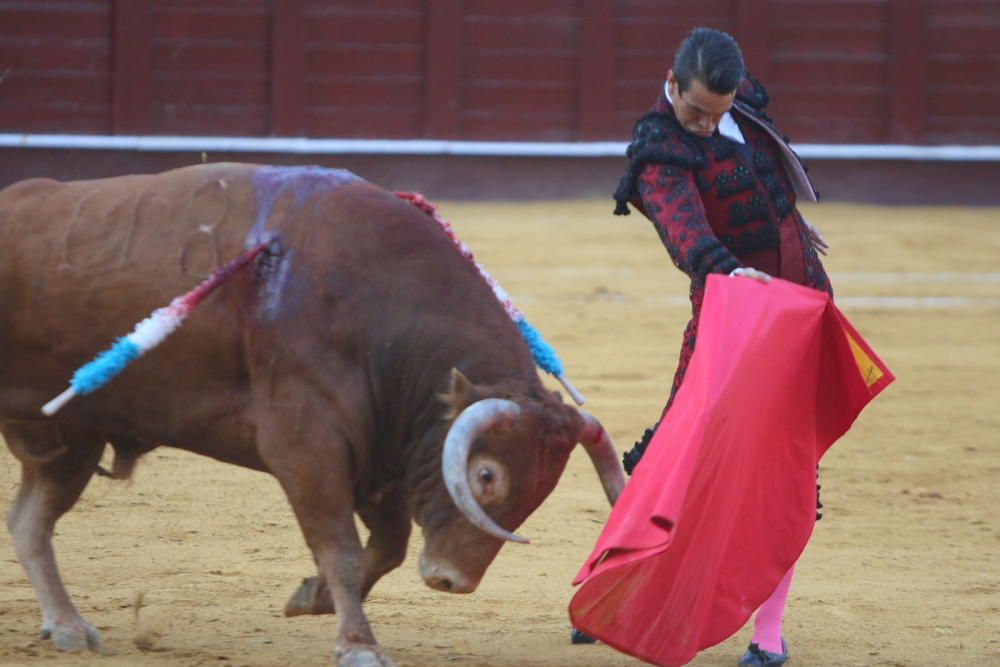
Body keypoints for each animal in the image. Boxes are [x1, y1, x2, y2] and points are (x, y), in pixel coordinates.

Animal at [0, 163, 624, 667]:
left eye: (542, 491)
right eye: (486, 476)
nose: (454, 580)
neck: (378, 308)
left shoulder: (381, 454)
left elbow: (388, 545)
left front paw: (311, 597)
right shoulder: (307, 446)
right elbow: (341, 548)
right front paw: (359, 646)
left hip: (73, 440)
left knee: (31, 521)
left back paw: (67, 626)